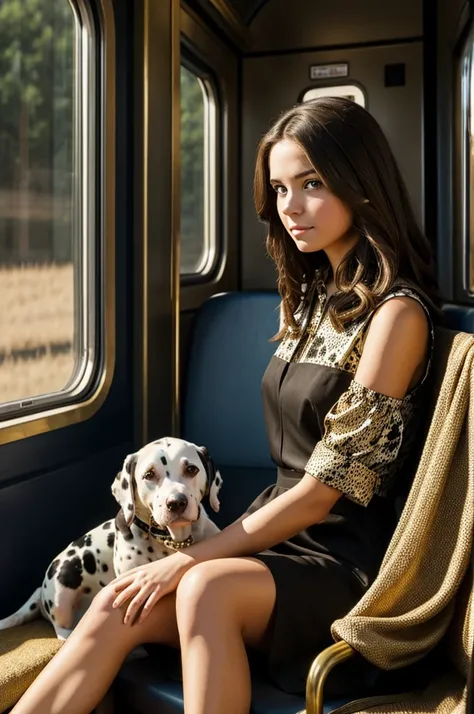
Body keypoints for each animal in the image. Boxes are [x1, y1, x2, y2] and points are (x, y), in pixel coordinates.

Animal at [0, 436, 222, 636]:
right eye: (149, 474)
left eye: (191, 469)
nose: (176, 502)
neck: (170, 542)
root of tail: (40, 593)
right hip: (62, 584)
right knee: (60, 628)